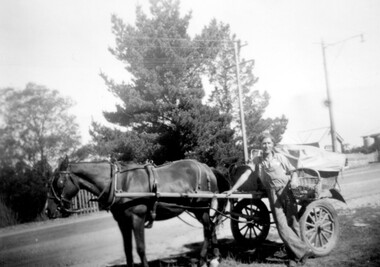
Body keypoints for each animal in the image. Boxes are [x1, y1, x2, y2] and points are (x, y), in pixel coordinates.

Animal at [52, 157, 230, 267]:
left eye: (59, 183)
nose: (49, 210)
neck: (119, 183)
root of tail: (207, 168)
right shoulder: (123, 222)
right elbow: (127, 250)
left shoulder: (137, 219)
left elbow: (140, 248)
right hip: (198, 210)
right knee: (211, 227)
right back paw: (215, 257)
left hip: (201, 208)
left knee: (208, 230)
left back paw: (203, 260)